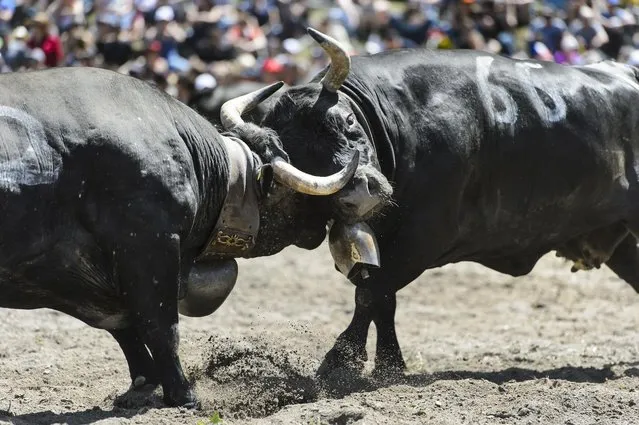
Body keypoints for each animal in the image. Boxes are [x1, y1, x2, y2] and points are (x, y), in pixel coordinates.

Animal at [0, 67, 364, 408]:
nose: (321, 220)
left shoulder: (63, 272)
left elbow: (122, 323)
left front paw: (143, 384)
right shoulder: (150, 245)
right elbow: (160, 326)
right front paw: (182, 392)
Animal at [238, 29, 639, 378]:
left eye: (347, 118)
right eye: (297, 154)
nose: (360, 192)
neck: (399, 120)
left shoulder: (426, 236)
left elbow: (371, 293)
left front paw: (339, 363)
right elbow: (383, 299)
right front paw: (389, 365)